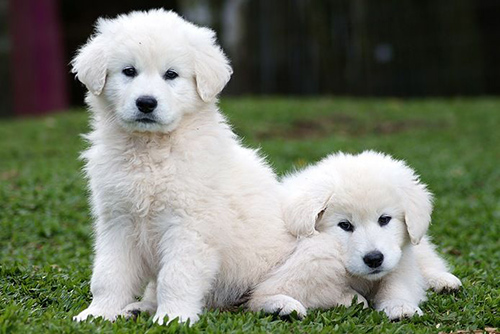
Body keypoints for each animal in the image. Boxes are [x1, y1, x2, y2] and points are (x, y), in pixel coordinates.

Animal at [71, 9, 296, 324]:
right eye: (129, 71)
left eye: (171, 75)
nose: (146, 103)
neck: (151, 150)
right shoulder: (118, 221)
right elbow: (109, 273)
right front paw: (99, 313)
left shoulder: (189, 226)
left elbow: (176, 277)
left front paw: (172, 318)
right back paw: (139, 307)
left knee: (274, 289)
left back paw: (281, 305)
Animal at [250, 151, 460, 318]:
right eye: (345, 225)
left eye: (384, 219)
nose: (374, 259)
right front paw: (352, 299)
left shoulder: (401, 255)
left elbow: (397, 283)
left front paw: (400, 307)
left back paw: (443, 280)